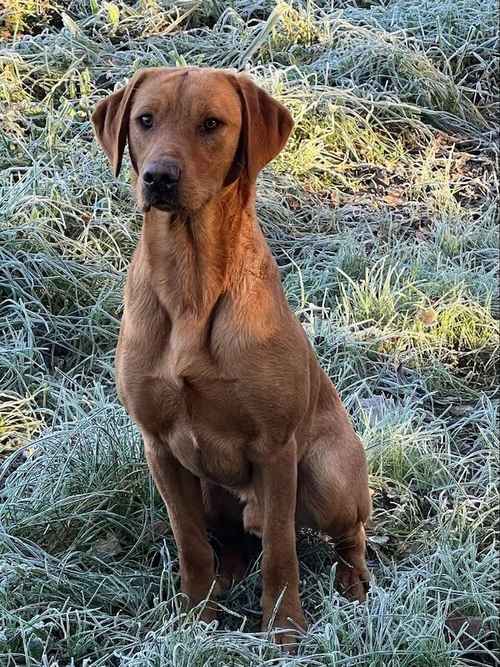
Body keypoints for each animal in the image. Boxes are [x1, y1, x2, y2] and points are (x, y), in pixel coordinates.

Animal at [92, 68, 370, 648]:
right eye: (144, 120)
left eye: (211, 124)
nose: (158, 177)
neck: (191, 281)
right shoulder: (160, 448)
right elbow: (190, 543)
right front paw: (195, 620)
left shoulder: (276, 448)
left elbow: (282, 553)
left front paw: (285, 629)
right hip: (209, 488)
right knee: (232, 540)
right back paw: (227, 576)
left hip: (328, 473)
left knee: (345, 532)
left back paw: (353, 582)